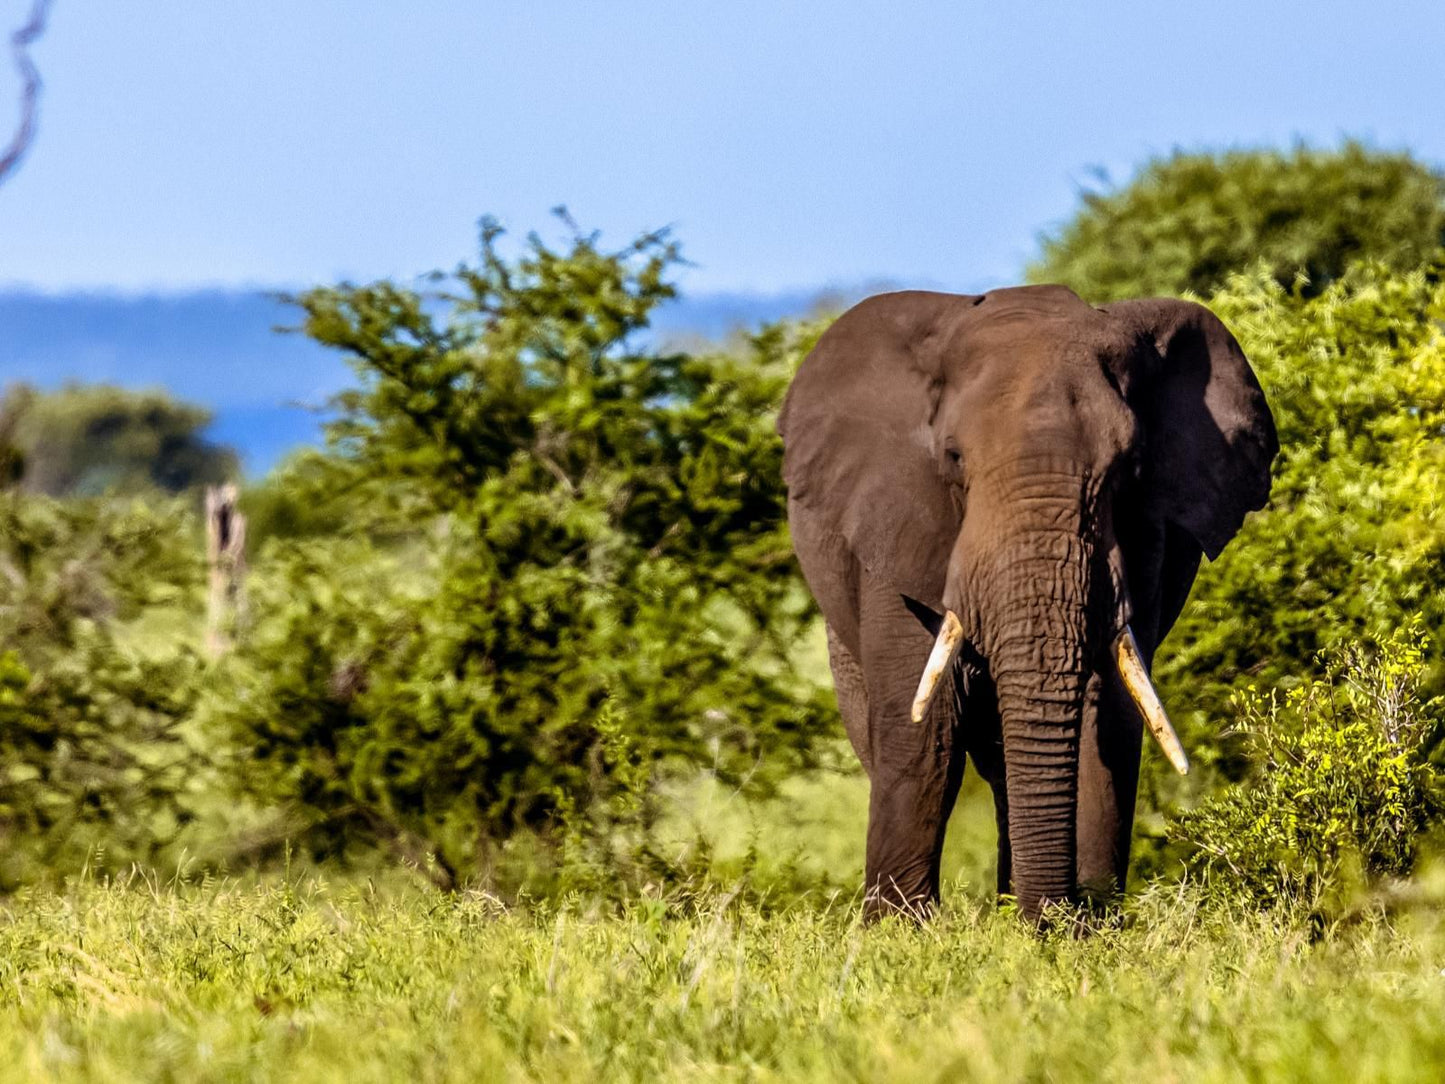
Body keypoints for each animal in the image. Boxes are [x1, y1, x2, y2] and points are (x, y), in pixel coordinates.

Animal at [780, 286, 1277, 925]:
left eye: (1128, 466)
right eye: (953, 458)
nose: (1050, 917)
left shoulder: (1142, 542)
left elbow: (1105, 711)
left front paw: (1079, 928)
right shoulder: (895, 524)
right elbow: (926, 731)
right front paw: (901, 931)